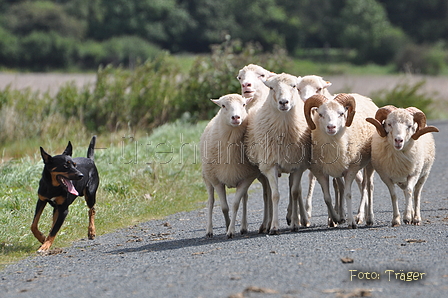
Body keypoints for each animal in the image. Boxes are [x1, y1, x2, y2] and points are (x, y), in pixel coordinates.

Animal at [200, 93, 260, 237]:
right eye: (223, 105)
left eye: (243, 104)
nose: (236, 117)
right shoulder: (217, 181)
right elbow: (224, 207)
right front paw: (227, 226)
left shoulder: (246, 178)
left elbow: (235, 205)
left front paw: (231, 230)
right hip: (207, 177)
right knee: (210, 202)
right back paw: (209, 230)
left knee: (245, 199)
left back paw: (243, 227)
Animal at [245, 71, 312, 233]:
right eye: (271, 88)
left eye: (294, 86)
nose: (283, 102)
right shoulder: (270, 165)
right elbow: (275, 195)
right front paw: (274, 226)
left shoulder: (298, 165)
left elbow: (294, 193)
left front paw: (294, 223)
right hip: (262, 169)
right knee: (267, 194)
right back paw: (266, 224)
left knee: (296, 190)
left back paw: (301, 219)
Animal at [304, 93, 378, 228]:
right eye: (321, 114)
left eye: (341, 113)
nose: (331, 127)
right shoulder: (321, 171)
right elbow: (327, 197)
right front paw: (335, 218)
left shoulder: (351, 169)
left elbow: (348, 194)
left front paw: (351, 222)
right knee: (346, 186)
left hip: (369, 163)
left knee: (368, 186)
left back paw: (368, 217)